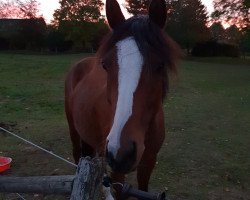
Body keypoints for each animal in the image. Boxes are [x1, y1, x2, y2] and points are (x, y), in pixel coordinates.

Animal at [65, 0, 179, 197]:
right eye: (105, 65)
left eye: (160, 65)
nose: (121, 153)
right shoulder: (118, 172)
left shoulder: (149, 162)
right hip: (75, 131)